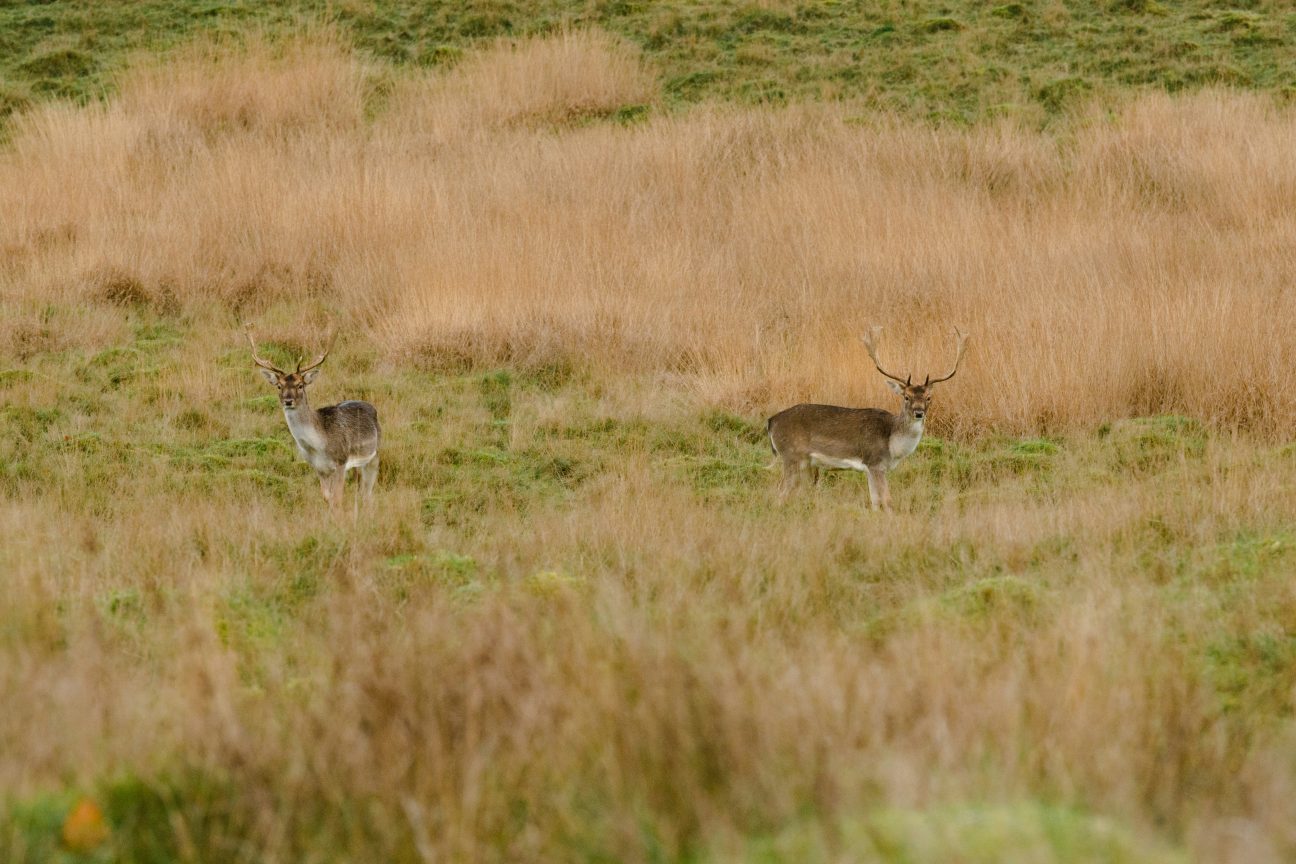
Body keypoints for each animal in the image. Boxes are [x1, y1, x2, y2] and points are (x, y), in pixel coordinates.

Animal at [246, 322, 378, 512]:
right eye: (279, 386)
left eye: (300, 385)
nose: (288, 400)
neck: (318, 445)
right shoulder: (318, 467)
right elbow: (327, 498)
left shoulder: (340, 461)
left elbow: (337, 499)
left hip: (374, 456)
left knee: (367, 492)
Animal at [762, 327, 969, 510]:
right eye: (906, 396)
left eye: (928, 397)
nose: (918, 412)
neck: (893, 443)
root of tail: (771, 421)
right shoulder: (875, 461)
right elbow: (887, 501)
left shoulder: (871, 468)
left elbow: (875, 501)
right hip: (791, 455)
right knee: (780, 493)